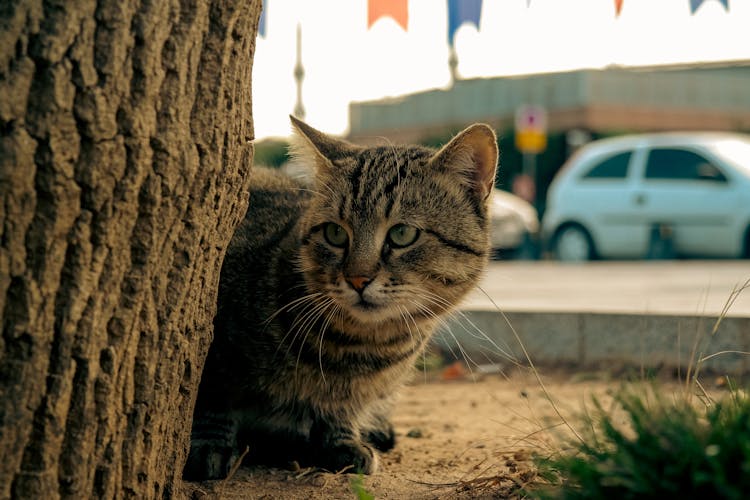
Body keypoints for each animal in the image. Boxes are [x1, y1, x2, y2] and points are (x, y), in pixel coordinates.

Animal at [183, 117, 500, 480]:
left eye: (402, 234)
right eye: (335, 233)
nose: (357, 279)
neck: (358, 348)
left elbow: (342, 413)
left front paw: (342, 441)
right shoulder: (214, 350)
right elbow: (211, 397)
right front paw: (210, 442)